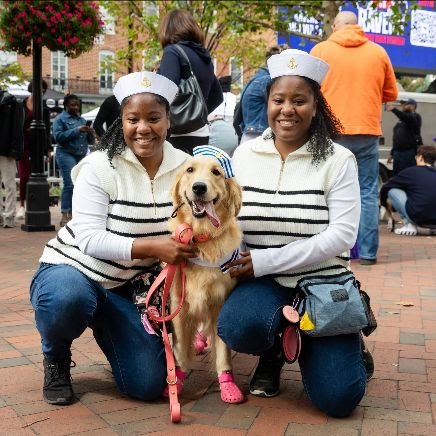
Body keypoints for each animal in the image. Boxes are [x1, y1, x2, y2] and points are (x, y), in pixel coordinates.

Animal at [169, 154, 245, 406]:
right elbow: (179, 351)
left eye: (216, 172)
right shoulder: (178, 306)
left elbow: (223, 351)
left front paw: (227, 383)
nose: (199, 188)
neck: (201, 238)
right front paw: (176, 381)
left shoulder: (219, 304)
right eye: (190, 170)